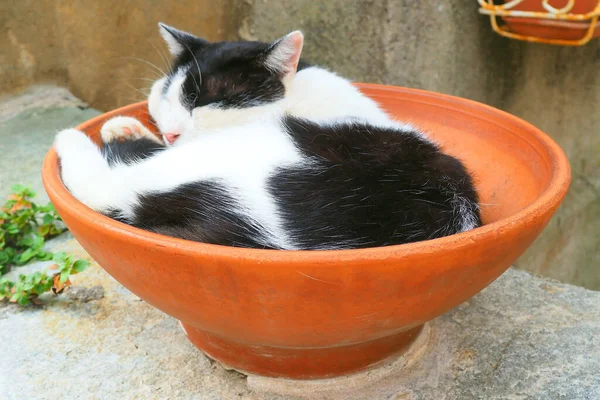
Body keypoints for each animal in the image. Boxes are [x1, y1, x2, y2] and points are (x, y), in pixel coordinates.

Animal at [54, 22, 480, 250]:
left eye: (202, 103)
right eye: (166, 96)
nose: (172, 132)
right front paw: (125, 126)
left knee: (107, 188)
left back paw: (70, 138)